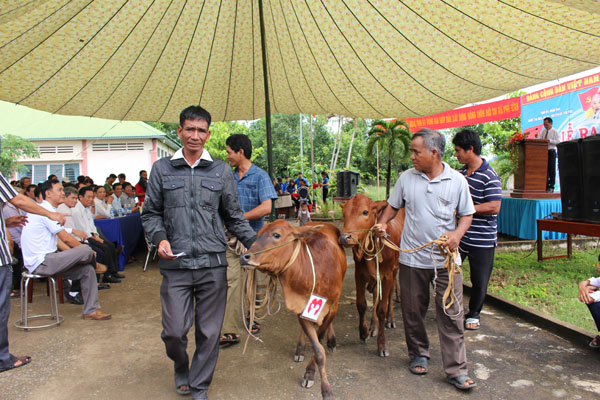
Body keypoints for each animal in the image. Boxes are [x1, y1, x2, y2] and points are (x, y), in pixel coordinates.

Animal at [241, 220, 346, 398]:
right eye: (258, 234)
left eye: (277, 234)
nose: (244, 257)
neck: (314, 271)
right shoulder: (301, 308)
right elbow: (317, 349)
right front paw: (311, 375)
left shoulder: (332, 306)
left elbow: (319, 344)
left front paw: (324, 388)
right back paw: (300, 350)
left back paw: (331, 341)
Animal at [340, 193, 406, 356]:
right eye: (343, 213)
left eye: (365, 212)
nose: (345, 238)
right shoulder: (359, 274)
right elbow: (361, 304)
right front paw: (363, 332)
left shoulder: (387, 275)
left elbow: (382, 308)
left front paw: (382, 344)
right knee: (376, 295)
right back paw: (373, 326)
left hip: (394, 270)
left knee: (389, 295)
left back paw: (390, 319)